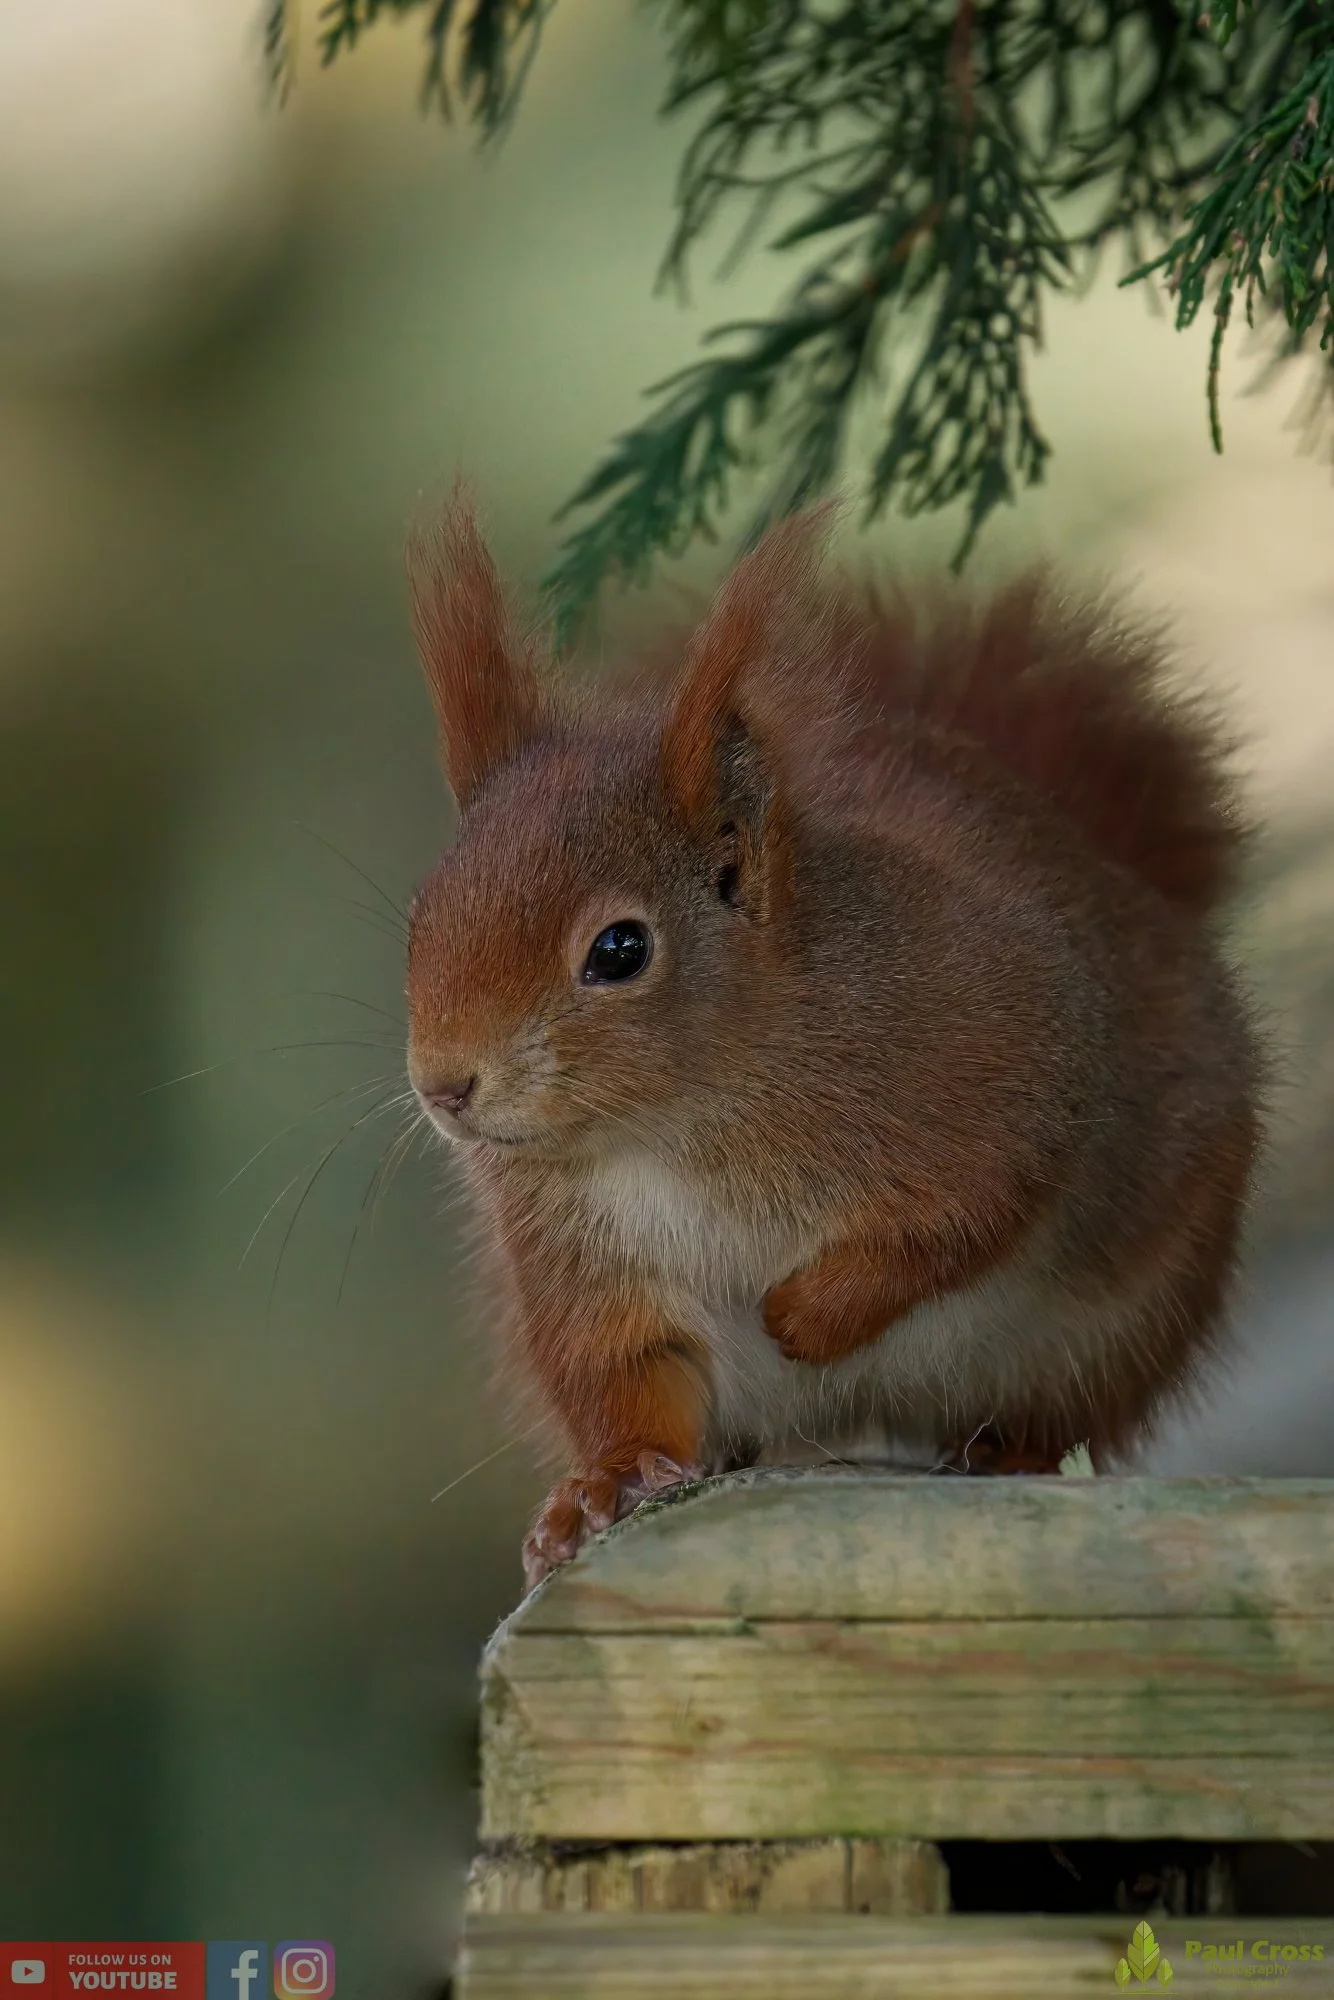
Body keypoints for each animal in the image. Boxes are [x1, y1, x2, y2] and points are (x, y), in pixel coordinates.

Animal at [402, 497, 1262, 1590]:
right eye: (417, 922)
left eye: (619, 949)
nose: (443, 1086)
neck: (677, 1128)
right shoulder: (578, 1259)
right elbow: (626, 1372)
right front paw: (603, 1483)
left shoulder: (1009, 1061)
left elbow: (970, 1211)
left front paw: (805, 1315)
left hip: (1133, 1319)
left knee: (1073, 1409)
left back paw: (1013, 1451)